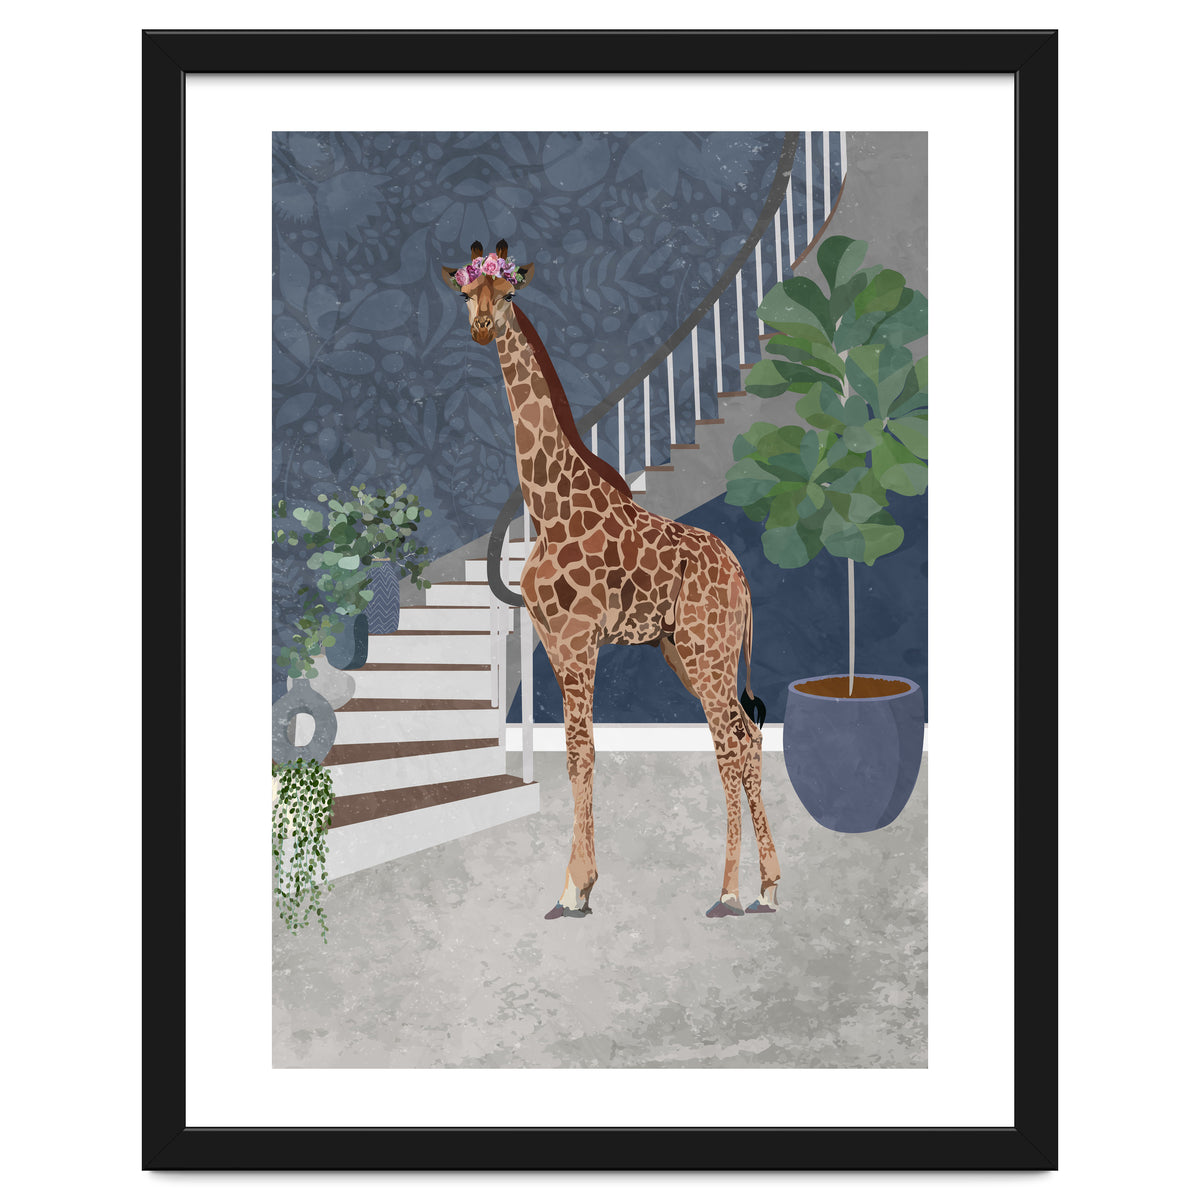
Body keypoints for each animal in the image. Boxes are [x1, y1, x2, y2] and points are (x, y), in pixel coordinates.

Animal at [441, 239, 780, 920]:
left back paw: (729, 891)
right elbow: (577, 754)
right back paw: (767, 886)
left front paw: (574, 887)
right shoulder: (551, 641)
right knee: (747, 736)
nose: (483, 326)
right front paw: (580, 883)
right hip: (688, 651)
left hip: (707, 651)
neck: (548, 505)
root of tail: (742, 576)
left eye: (509, 292)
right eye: (466, 292)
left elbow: (582, 750)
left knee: (730, 744)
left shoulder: (578, 641)